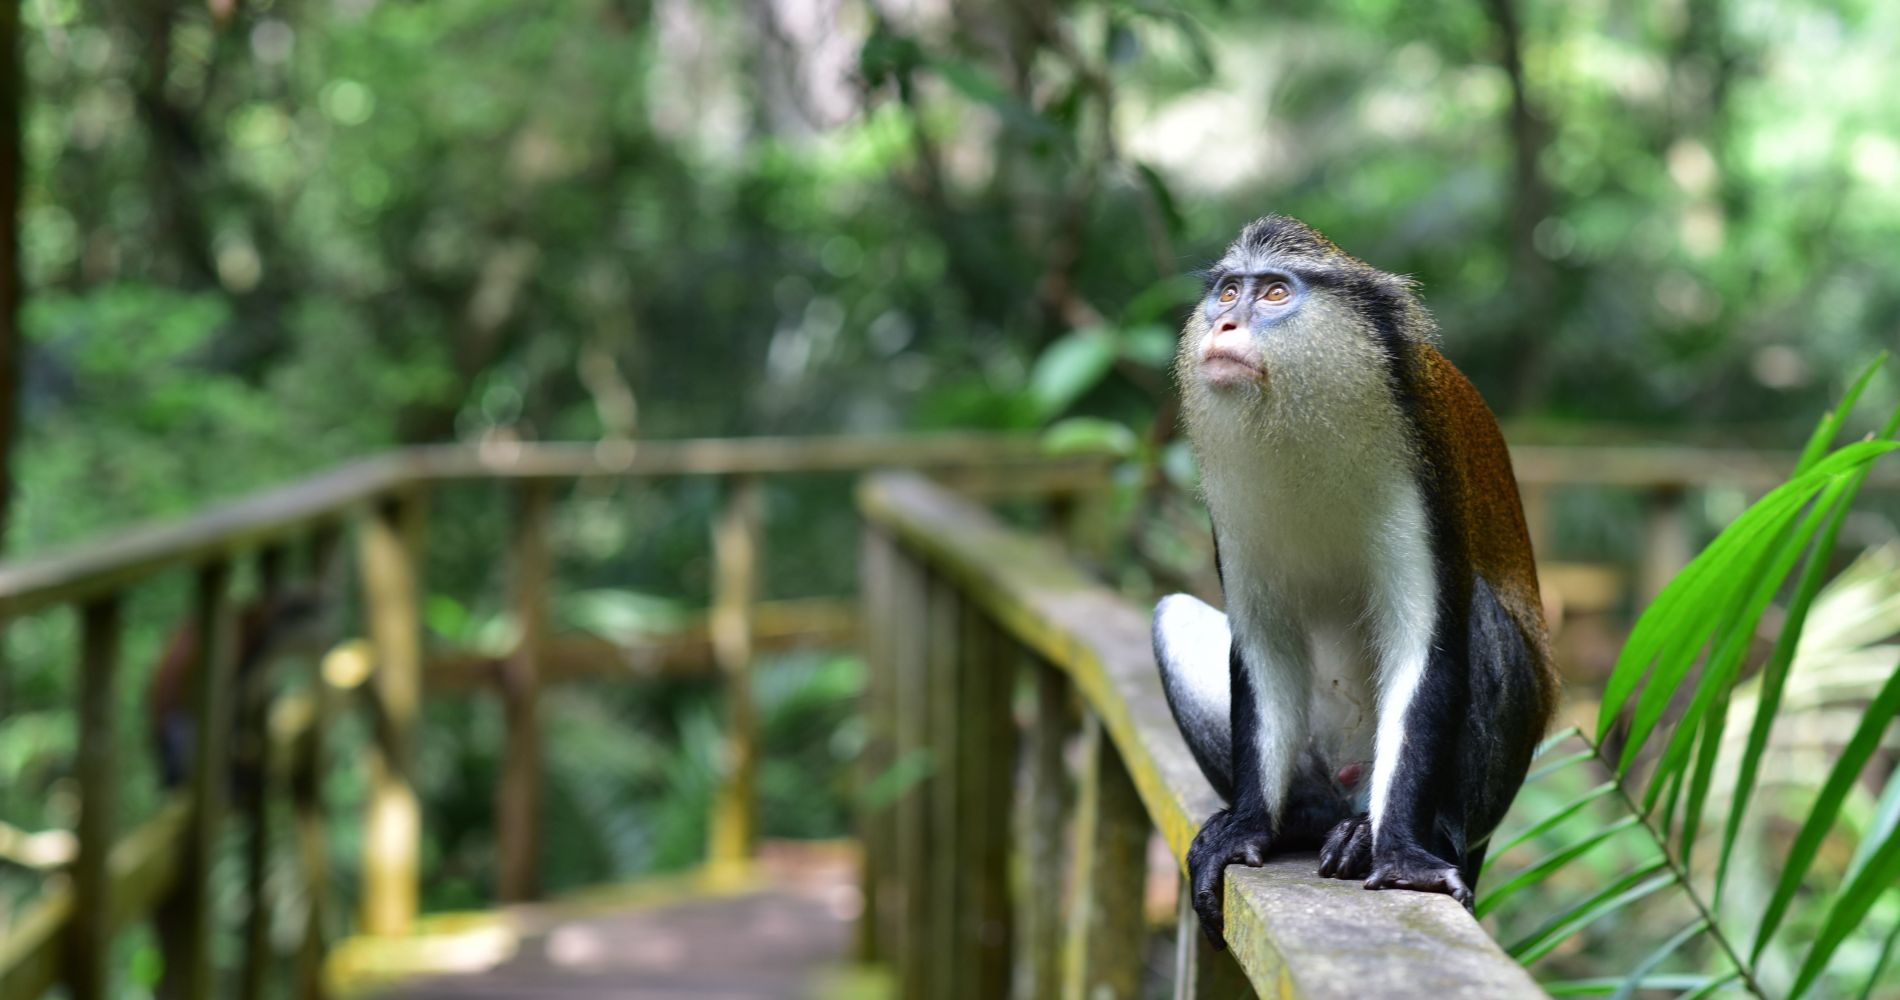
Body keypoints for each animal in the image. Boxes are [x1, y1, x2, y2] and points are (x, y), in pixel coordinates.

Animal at [1147, 217, 1550, 950]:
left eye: (1275, 293)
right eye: (1228, 292)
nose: (1224, 324)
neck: (1302, 426)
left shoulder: (1423, 477)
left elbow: (1425, 645)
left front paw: (1400, 854)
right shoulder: (1230, 510)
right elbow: (1265, 648)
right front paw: (1247, 828)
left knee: (1479, 613)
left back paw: (1387, 832)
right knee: (1170, 613)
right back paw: (1297, 822)